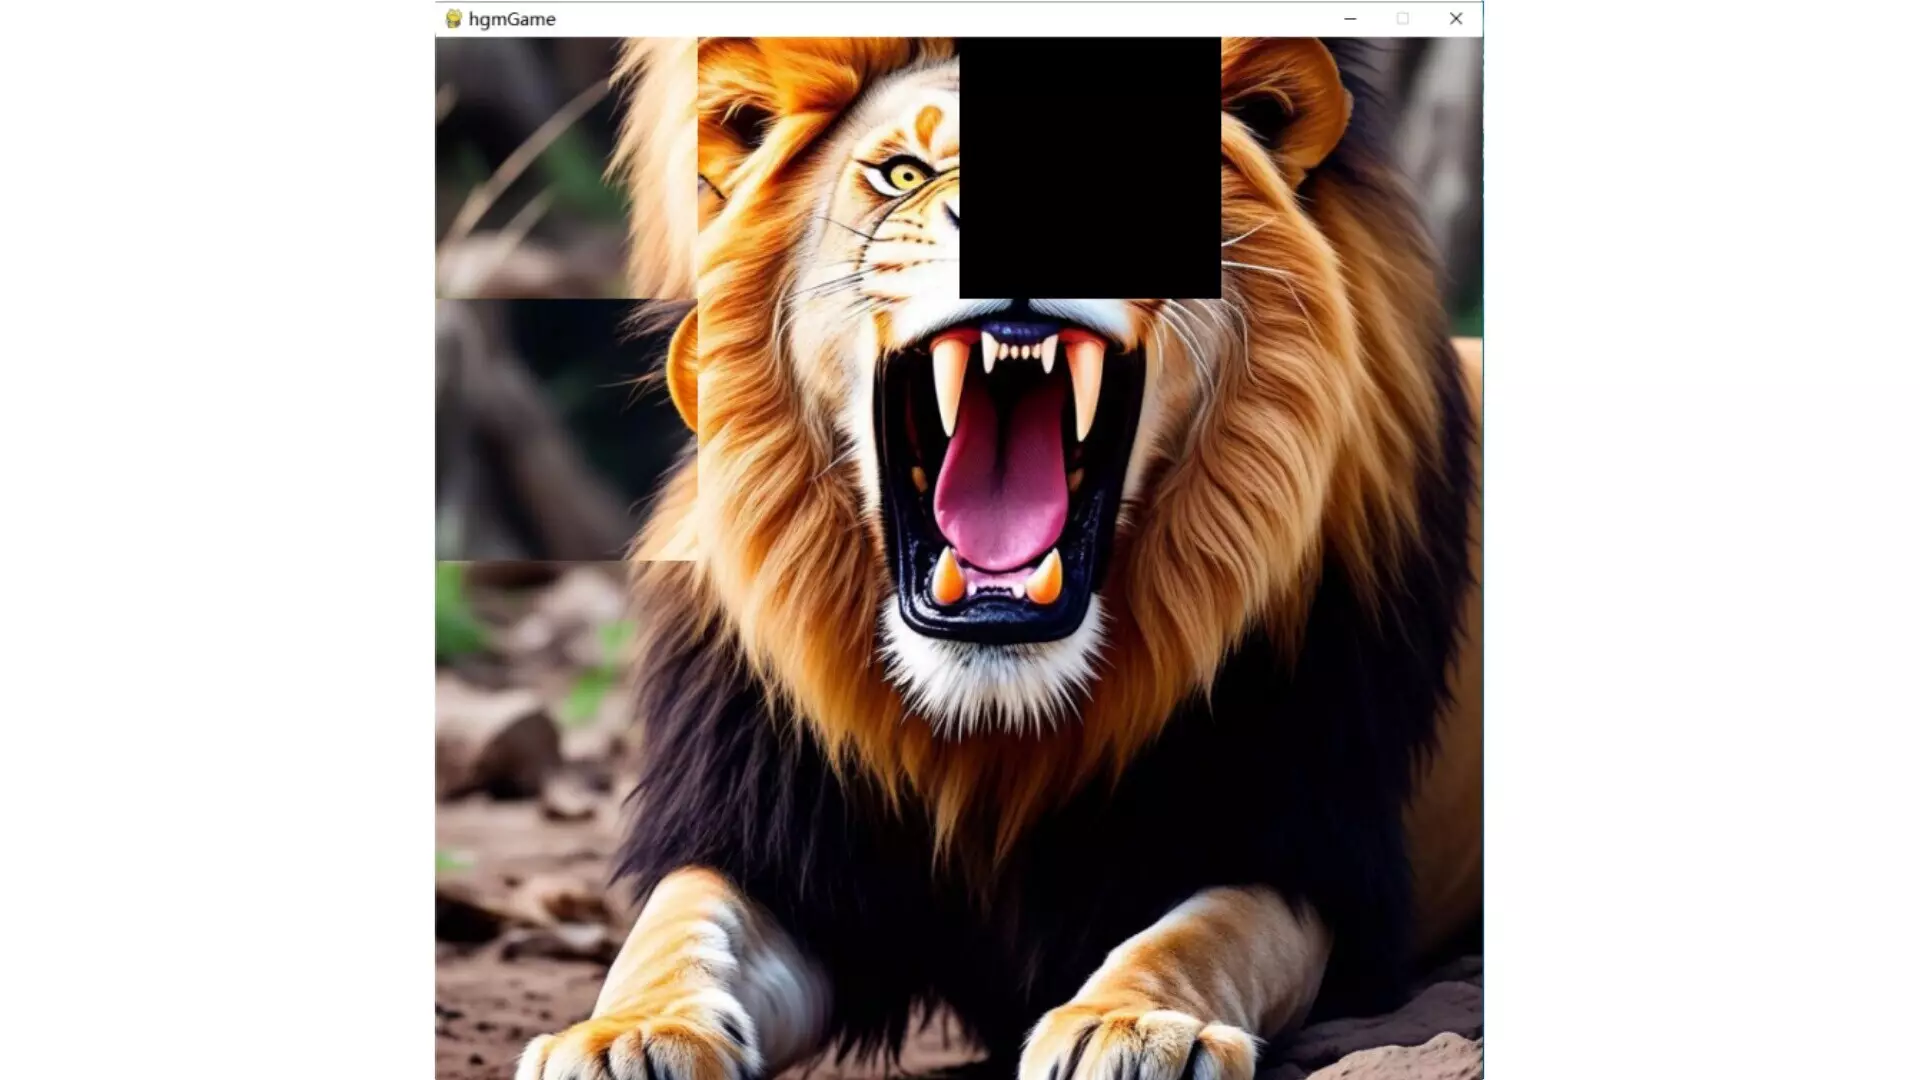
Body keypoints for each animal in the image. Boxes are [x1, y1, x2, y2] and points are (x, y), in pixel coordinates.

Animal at [517, 36, 1483, 1080]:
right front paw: (629, 1032)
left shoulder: (1304, 841)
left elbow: (1204, 932)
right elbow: (677, 926)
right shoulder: (768, 836)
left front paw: (1131, 1022)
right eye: (905, 172)